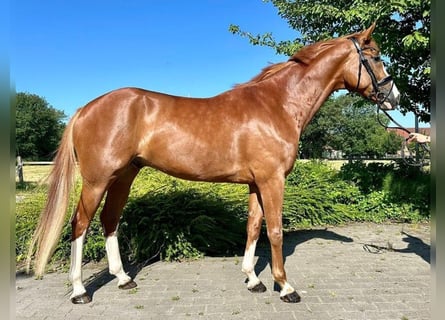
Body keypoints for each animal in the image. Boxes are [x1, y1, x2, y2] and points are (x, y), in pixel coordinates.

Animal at [24, 23, 398, 304]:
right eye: (376, 57)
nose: (393, 97)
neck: (277, 104)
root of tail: (85, 108)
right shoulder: (272, 180)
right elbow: (275, 231)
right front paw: (285, 286)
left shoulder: (255, 182)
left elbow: (253, 227)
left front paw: (253, 279)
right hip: (97, 179)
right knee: (80, 224)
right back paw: (79, 290)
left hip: (124, 175)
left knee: (109, 220)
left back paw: (123, 278)